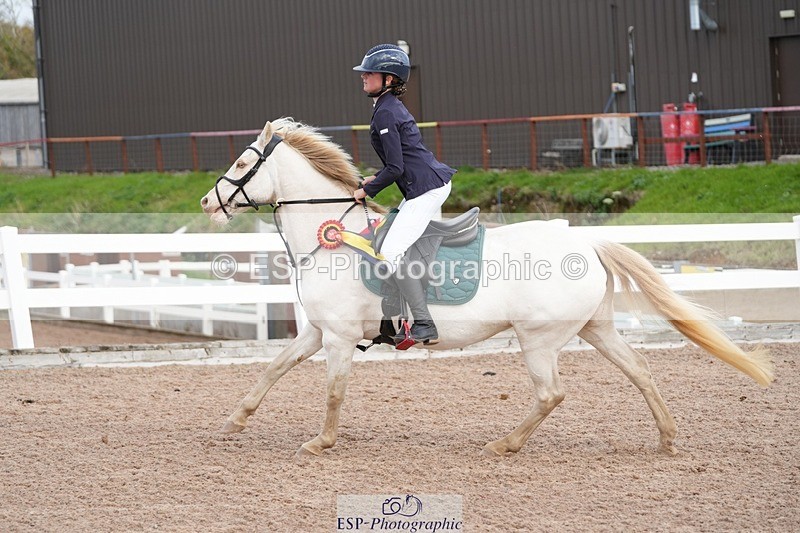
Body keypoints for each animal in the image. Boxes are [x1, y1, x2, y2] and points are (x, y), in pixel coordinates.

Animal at [200, 118, 774, 459]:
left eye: (242, 163)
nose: (208, 203)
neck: (334, 239)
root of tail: (586, 242)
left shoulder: (339, 338)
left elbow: (334, 392)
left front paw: (320, 442)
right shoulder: (317, 333)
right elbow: (273, 369)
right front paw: (233, 420)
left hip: (538, 338)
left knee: (551, 393)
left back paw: (504, 444)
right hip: (596, 328)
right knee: (640, 371)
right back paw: (668, 438)